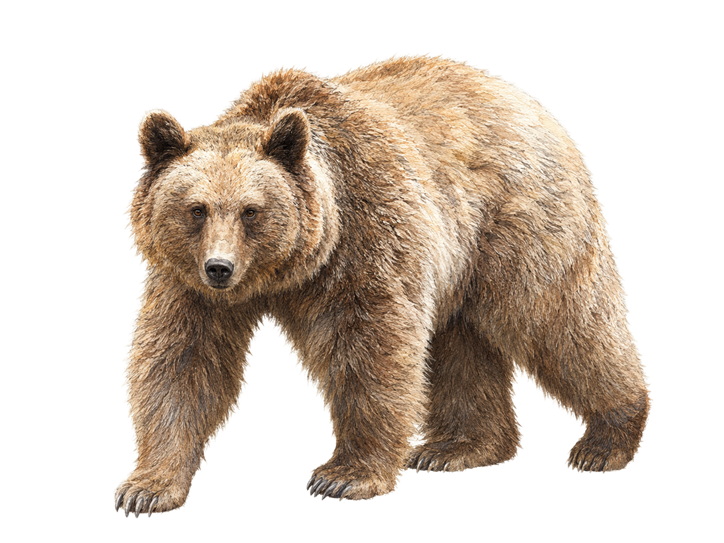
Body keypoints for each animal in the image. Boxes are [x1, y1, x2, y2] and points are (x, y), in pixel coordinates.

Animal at [115, 52, 652, 517]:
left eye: (251, 210)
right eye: (196, 209)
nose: (220, 268)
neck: (290, 268)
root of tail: (533, 104)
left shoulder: (365, 237)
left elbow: (370, 348)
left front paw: (343, 475)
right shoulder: (185, 282)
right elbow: (181, 360)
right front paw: (146, 487)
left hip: (518, 222)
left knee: (559, 318)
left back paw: (604, 441)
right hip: (461, 262)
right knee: (459, 343)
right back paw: (460, 446)